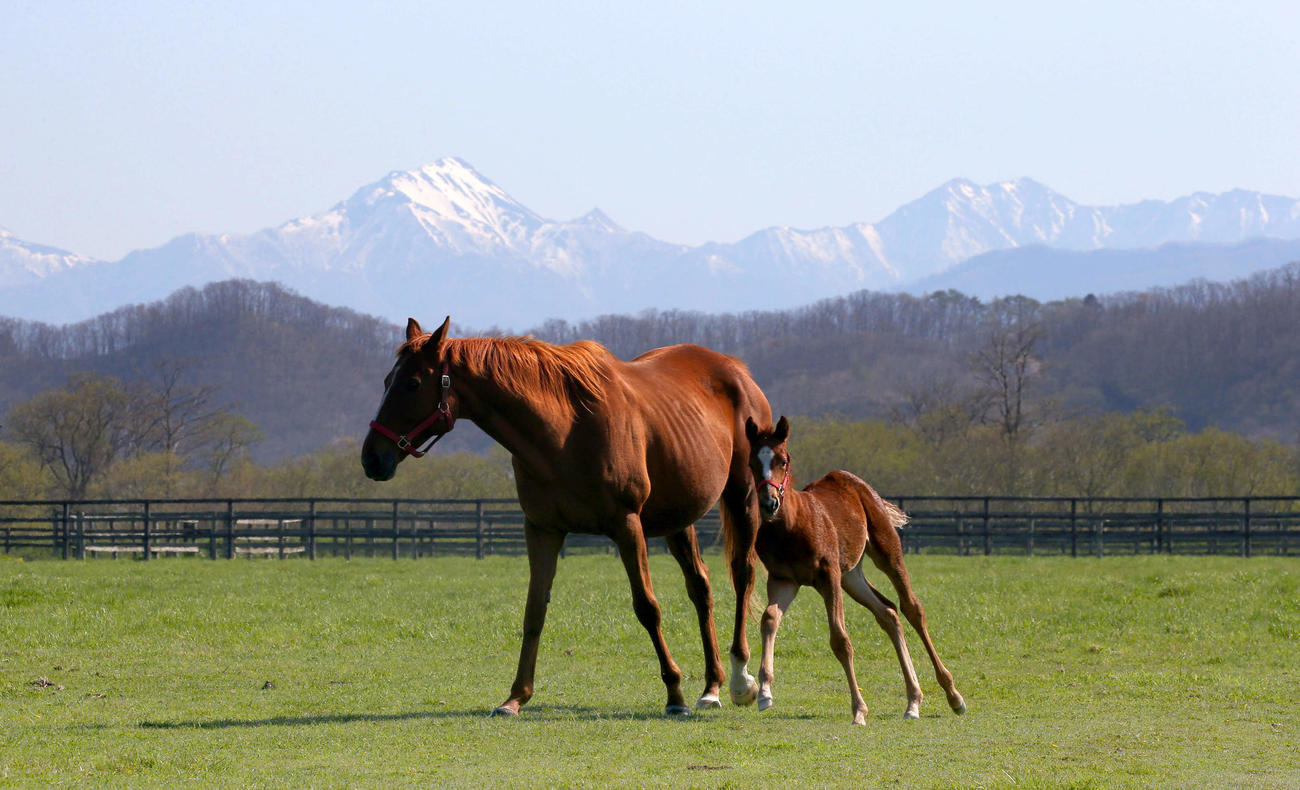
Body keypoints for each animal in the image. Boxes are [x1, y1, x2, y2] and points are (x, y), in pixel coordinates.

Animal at [361, 317, 772, 716]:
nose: (372, 458)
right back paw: (711, 687)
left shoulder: (627, 526)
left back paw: (741, 680)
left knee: (742, 576)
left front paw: (674, 694)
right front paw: (515, 697)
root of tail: (737, 371)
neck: (566, 429)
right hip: (678, 519)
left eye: (413, 383)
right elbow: (533, 612)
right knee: (701, 589)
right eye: (386, 382)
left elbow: (647, 607)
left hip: (744, 498)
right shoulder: (542, 529)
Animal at [744, 416, 967, 723]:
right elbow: (769, 619)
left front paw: (859, 709)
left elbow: (840, 640)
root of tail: (853, 481)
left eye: (783, 460)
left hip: (885, 554)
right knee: (888, 613)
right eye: (753, 462)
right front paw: (765, 691)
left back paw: (953, 695)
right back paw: (913, 701)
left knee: (912, 608)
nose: (769, 503)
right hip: (851, 576)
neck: (790, 525)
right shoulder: (784, 580)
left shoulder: (828, 576)